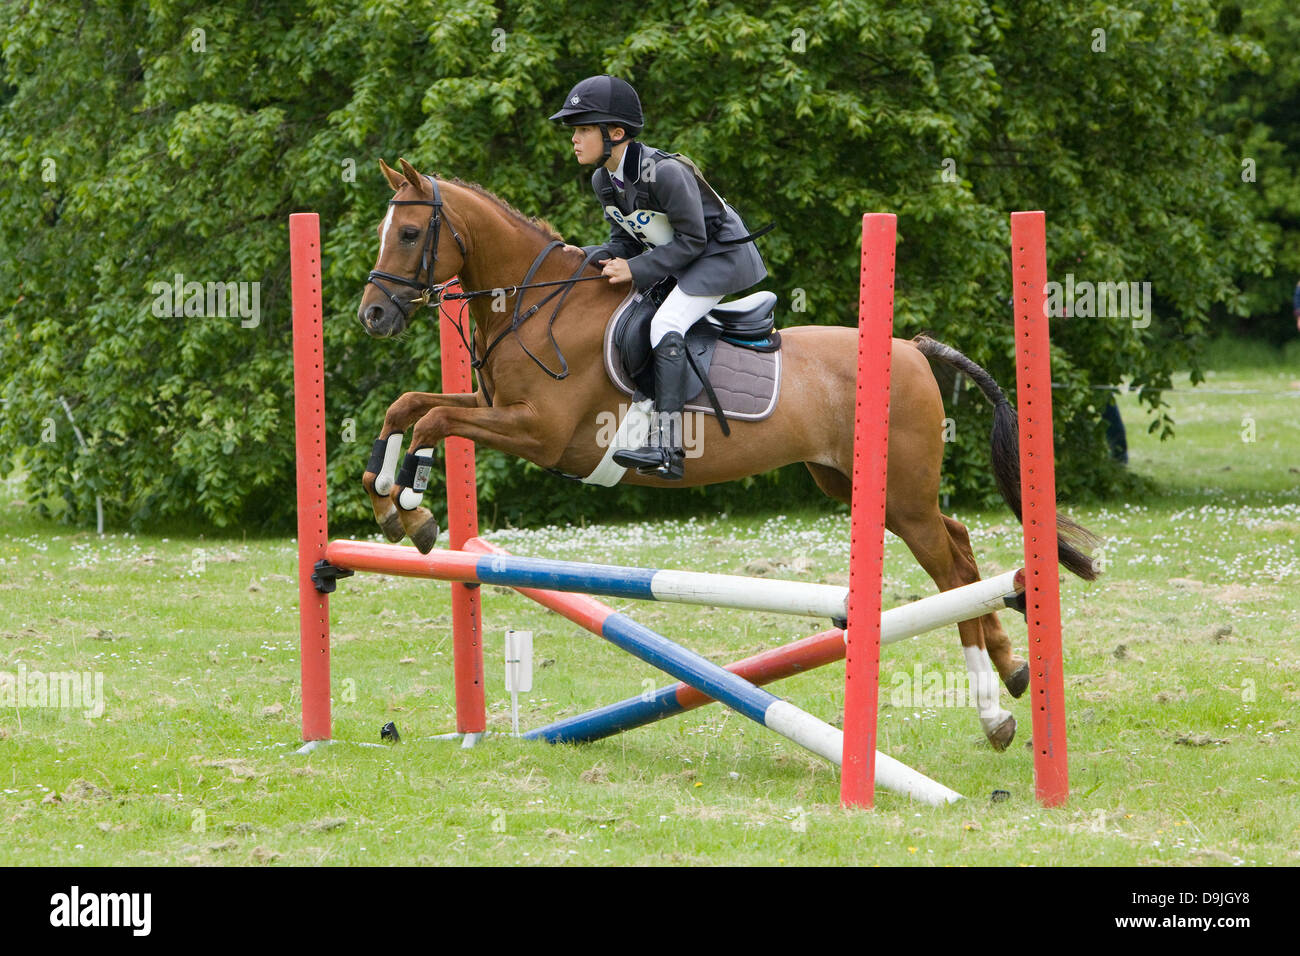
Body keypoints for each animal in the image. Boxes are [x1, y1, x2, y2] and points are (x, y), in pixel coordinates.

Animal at [353, 158, 1097, 754]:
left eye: (411, 234)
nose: (373, 317)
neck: (539, 309)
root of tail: (912, 349)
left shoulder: (541, 433)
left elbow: (435, 419)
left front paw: (413, 507)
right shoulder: (498, 411)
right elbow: (409, 406)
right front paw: (388, 500)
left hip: (899, 497)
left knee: (951, 572)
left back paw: (995, 713)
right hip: (861, 486)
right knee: (962, 551)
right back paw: (1012, 671)